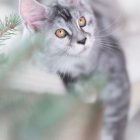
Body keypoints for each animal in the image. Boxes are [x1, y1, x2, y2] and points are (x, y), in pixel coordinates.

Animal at [19, 0, 130, 139]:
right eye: (60, 32)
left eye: (82, 21)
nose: (82, 40)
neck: (81, 64)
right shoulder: (40, 63)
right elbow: (65, 74)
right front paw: (87, 91)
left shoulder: (116, 71)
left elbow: (115, 118)